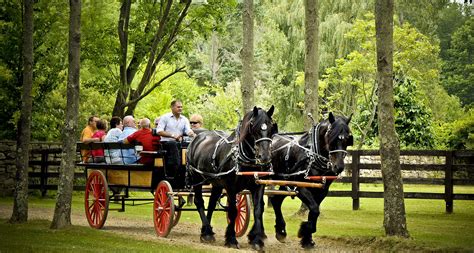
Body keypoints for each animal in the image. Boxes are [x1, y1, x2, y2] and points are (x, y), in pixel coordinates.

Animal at [184, 105, 274, 250]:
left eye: (272, 126)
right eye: (253, 126)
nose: (264, 156)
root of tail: (197, 138)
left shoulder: (258, 186)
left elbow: (258, 210)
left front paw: (257, 240)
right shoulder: (231, 187)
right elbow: (233, 210)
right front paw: (231, 239)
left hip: (216, 183)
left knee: (211, 203)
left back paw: (207, 231)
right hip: (197, 179)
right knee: (199, 202)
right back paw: (207, 233)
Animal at [268, 112, 350, 249]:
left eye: (348, 139)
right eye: (330, 136)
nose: (338, 167)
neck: (312, 155)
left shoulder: (321, 190)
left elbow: (314, 212)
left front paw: (307, 239)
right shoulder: (300, 187)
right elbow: (315, 209)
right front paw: (304, 231)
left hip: (286, 181)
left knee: (276, 201)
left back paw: (281, 231)